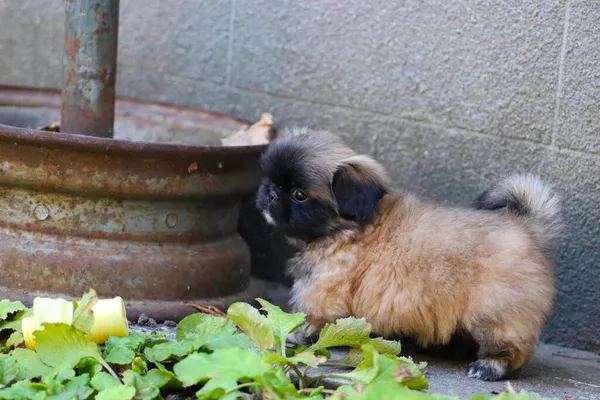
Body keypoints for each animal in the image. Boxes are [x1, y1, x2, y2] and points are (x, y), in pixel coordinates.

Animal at [256, 129, 564, 382]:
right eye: (270, 181)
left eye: (299, 195)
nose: (270, 193)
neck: (347, 227)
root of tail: (527, 228)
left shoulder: (322, 289)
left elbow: (310, 316)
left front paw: (296, 334)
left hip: (495, 313)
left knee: (509, 348)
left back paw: (489, 366)